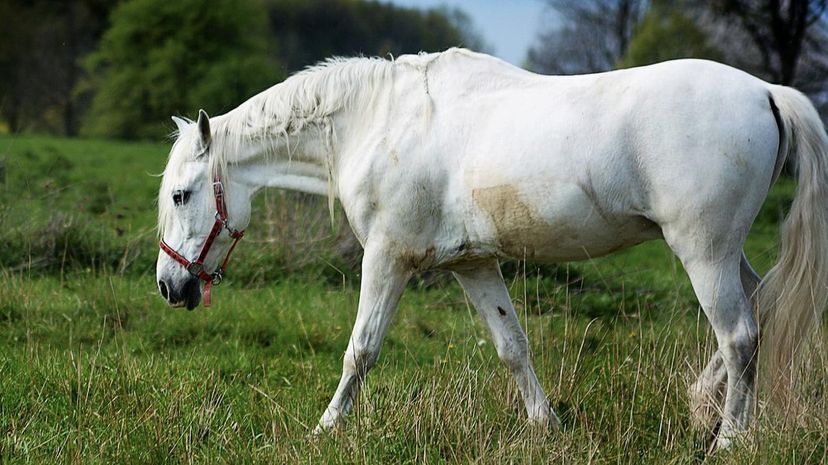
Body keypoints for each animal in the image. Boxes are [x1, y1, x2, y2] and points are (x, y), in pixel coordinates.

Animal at [157, 49, 828, 448]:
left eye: (183, 195)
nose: (171, 285)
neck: (378, 122)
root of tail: (766, 91)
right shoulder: (474, 265)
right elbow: (513, 346)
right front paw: (547, 427)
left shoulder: (388, 257)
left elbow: (361, 350)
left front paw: (326, 429)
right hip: (724, 254)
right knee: (762, 305)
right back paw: (698, 405)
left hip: (703, 252)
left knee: (739, 335)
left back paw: (728, 441)